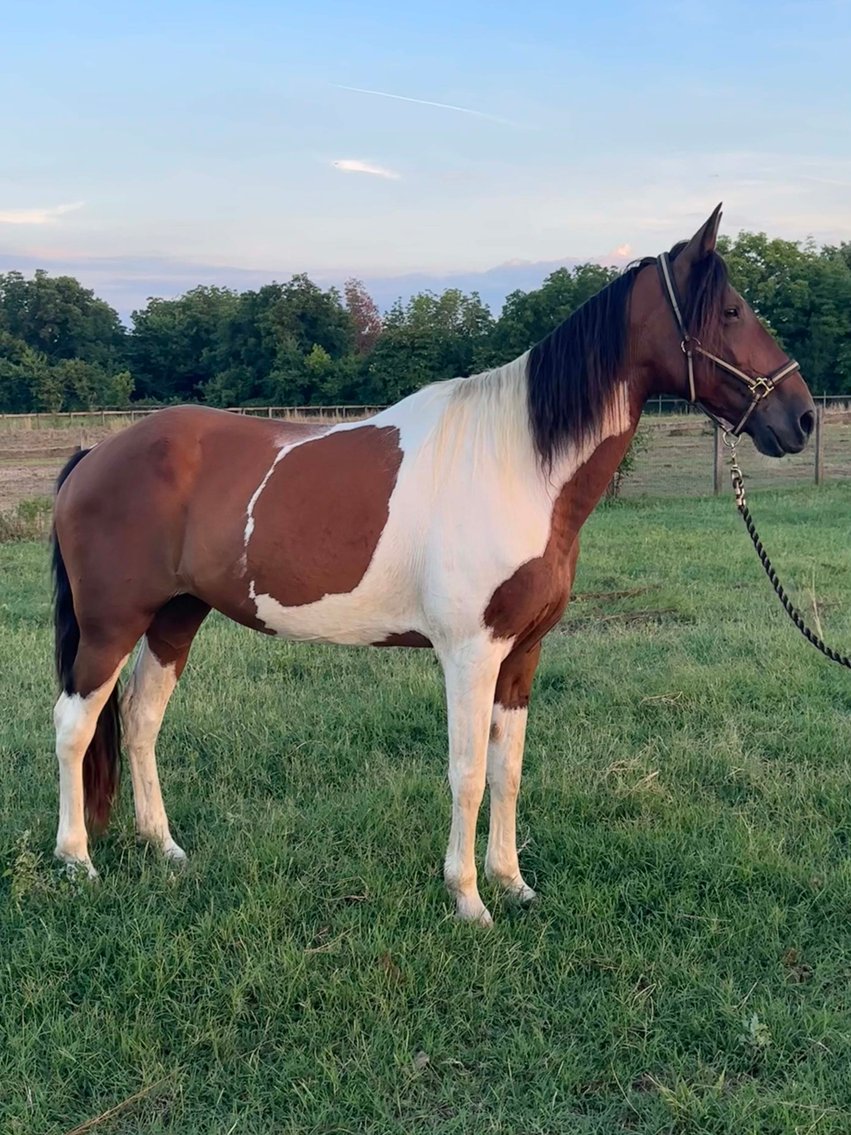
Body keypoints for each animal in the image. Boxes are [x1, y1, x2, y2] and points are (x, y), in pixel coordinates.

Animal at [50, 206, 815, 924]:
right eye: (730, 311)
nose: (802, 417)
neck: (516, 465)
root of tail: (95, 456)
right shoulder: (471, 653)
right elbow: (468, 772)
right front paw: (468, 898)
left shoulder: (522, 653)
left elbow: (508, 769)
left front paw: (512, 882)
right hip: (112, 623)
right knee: (75, 725)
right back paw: (77, 861)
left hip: (176, 617)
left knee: (141, 719)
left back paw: (163, 846)